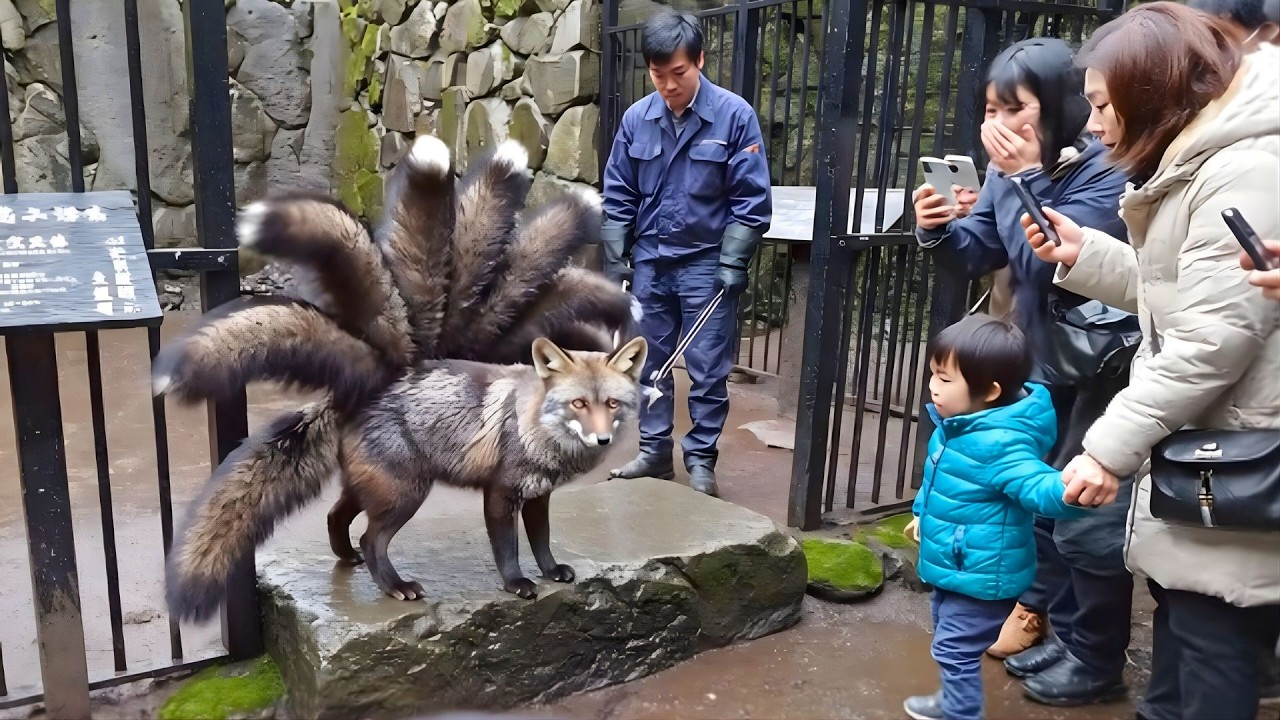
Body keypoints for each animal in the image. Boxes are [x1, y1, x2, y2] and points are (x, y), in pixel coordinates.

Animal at [155, 134, 647, 621]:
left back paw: (349, 560)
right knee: (371, 537)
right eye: (578, 404)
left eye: (612, 404)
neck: (537, 432)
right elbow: (508, 549)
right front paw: (517, 584)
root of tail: (392, 374)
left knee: (337, 517)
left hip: (373, 486)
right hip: (405, 492)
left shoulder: (539, 496)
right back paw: (395, 586)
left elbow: (542, 541)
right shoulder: (500, 493)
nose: (603, 439)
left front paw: (551, 572)